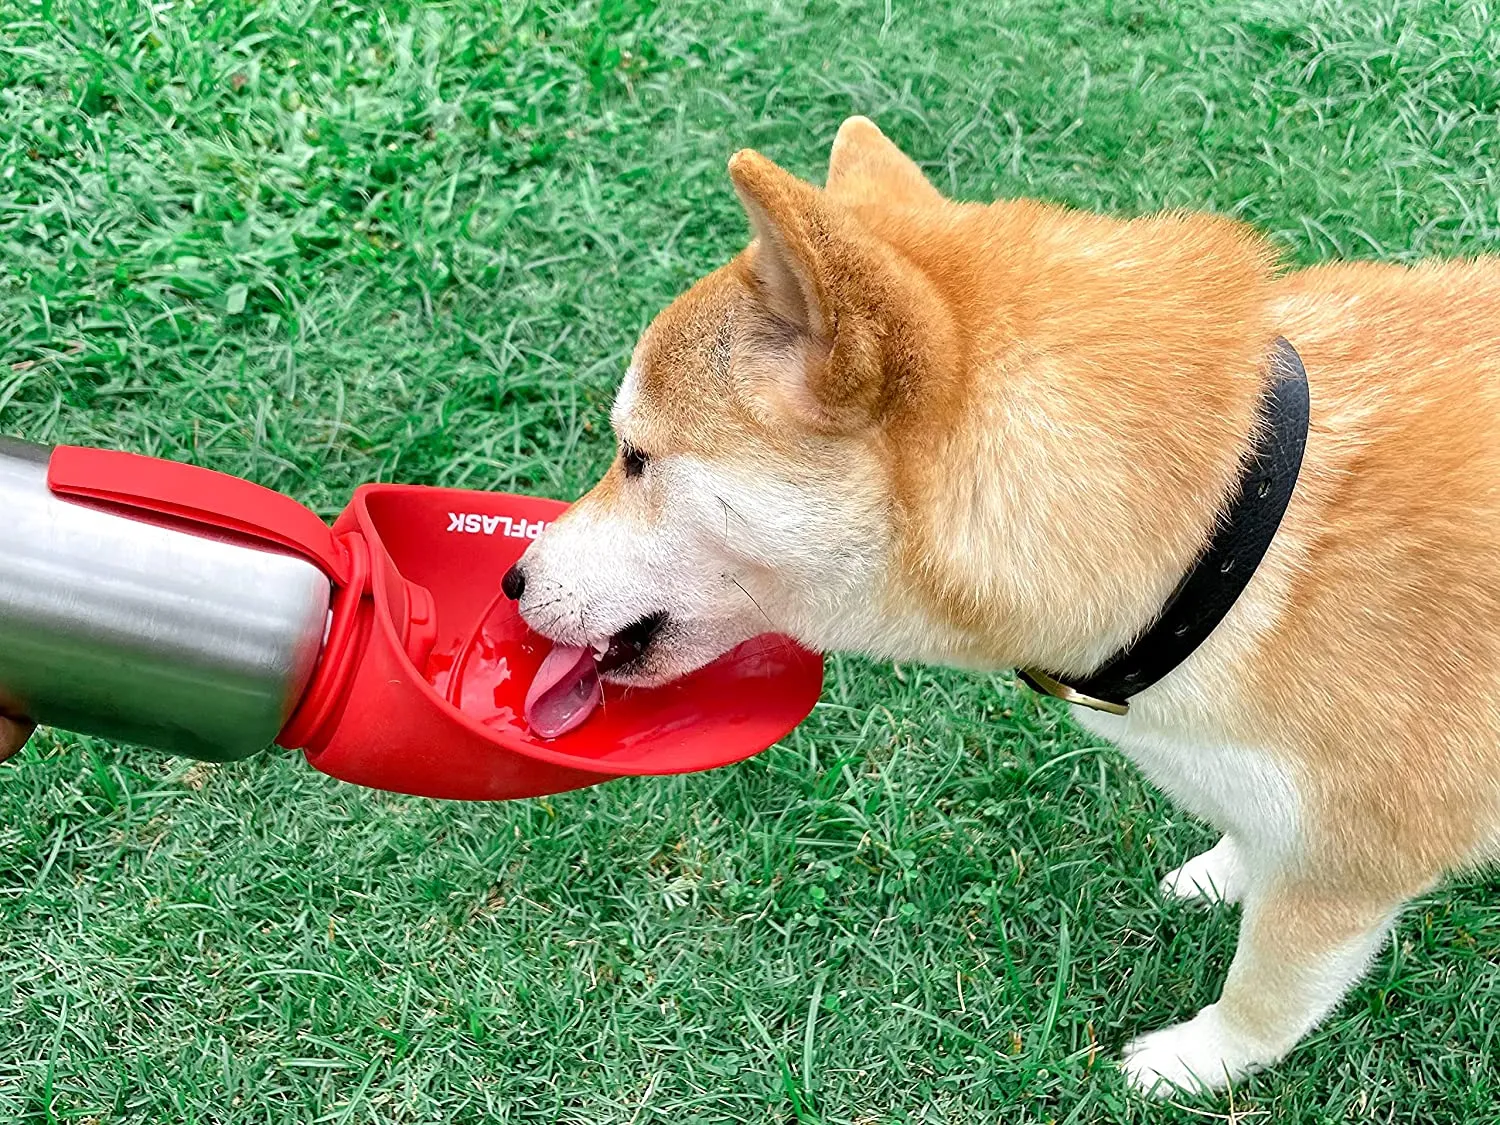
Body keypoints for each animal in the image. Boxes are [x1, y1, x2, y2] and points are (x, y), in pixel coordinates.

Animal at [501, 119, 1500, 1098]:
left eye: (634, 456)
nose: (512, 579)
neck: (1231, 531)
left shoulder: (1346, 869)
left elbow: (1265, 995)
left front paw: (1194, 1061)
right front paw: (1227, 871)